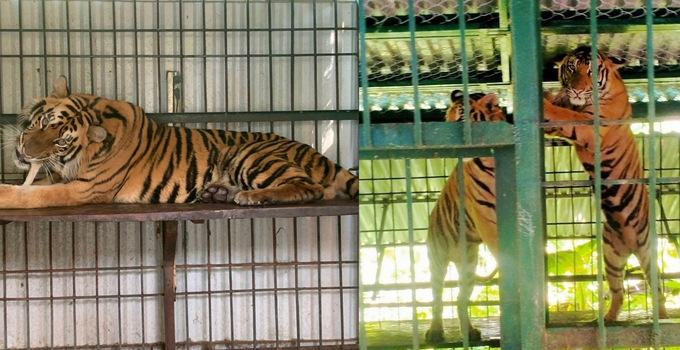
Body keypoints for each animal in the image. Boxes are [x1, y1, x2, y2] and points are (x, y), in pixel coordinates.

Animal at [3, 75, 356, 209]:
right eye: (43, 122)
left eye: (61, 141)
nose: (24, 151)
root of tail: (316, 153)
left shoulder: (84, 189)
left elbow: (32, 196)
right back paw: (220, 193)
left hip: (246, 153)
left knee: (311, 187)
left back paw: (252, 197)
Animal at [428, 89, 508, 344]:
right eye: (446, 116)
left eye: (461, 116)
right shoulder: (484, 216)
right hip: (437, 259)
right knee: (438, 298)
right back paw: (435, 332)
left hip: (469, 266)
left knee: (461, 299)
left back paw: (470, 332)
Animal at [540, 45, 668, 322]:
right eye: (570, 69)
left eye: (591, 71)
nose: (577, 90)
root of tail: (630, 246)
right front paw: (551, 95)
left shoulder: (589, 124)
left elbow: (562, 115)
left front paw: (544, 102)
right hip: (610, 255)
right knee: (619, 291)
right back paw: (607, 319)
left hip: (648, 250)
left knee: (656, 287)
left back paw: (662, 316)